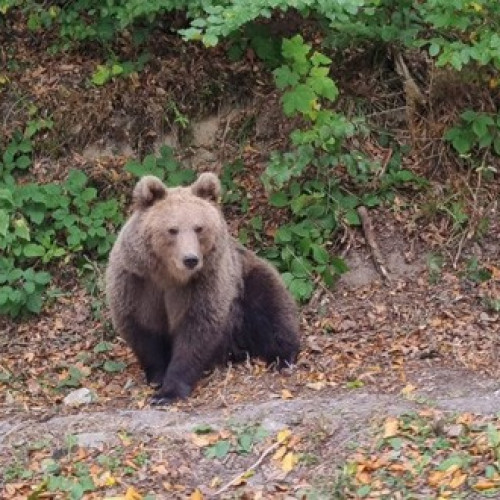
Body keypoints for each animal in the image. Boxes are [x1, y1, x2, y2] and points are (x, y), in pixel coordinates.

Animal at [105, 174, 298, 404]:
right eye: (172, 229)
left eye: (199, 228)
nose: (190, 259)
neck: (170, 276)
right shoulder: (137, 282)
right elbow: (141, 328)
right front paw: (157, 377)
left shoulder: (205, 283)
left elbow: (197, 331)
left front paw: (169, 391)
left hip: (247, 280)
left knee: (271, 309)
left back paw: (281, 357)